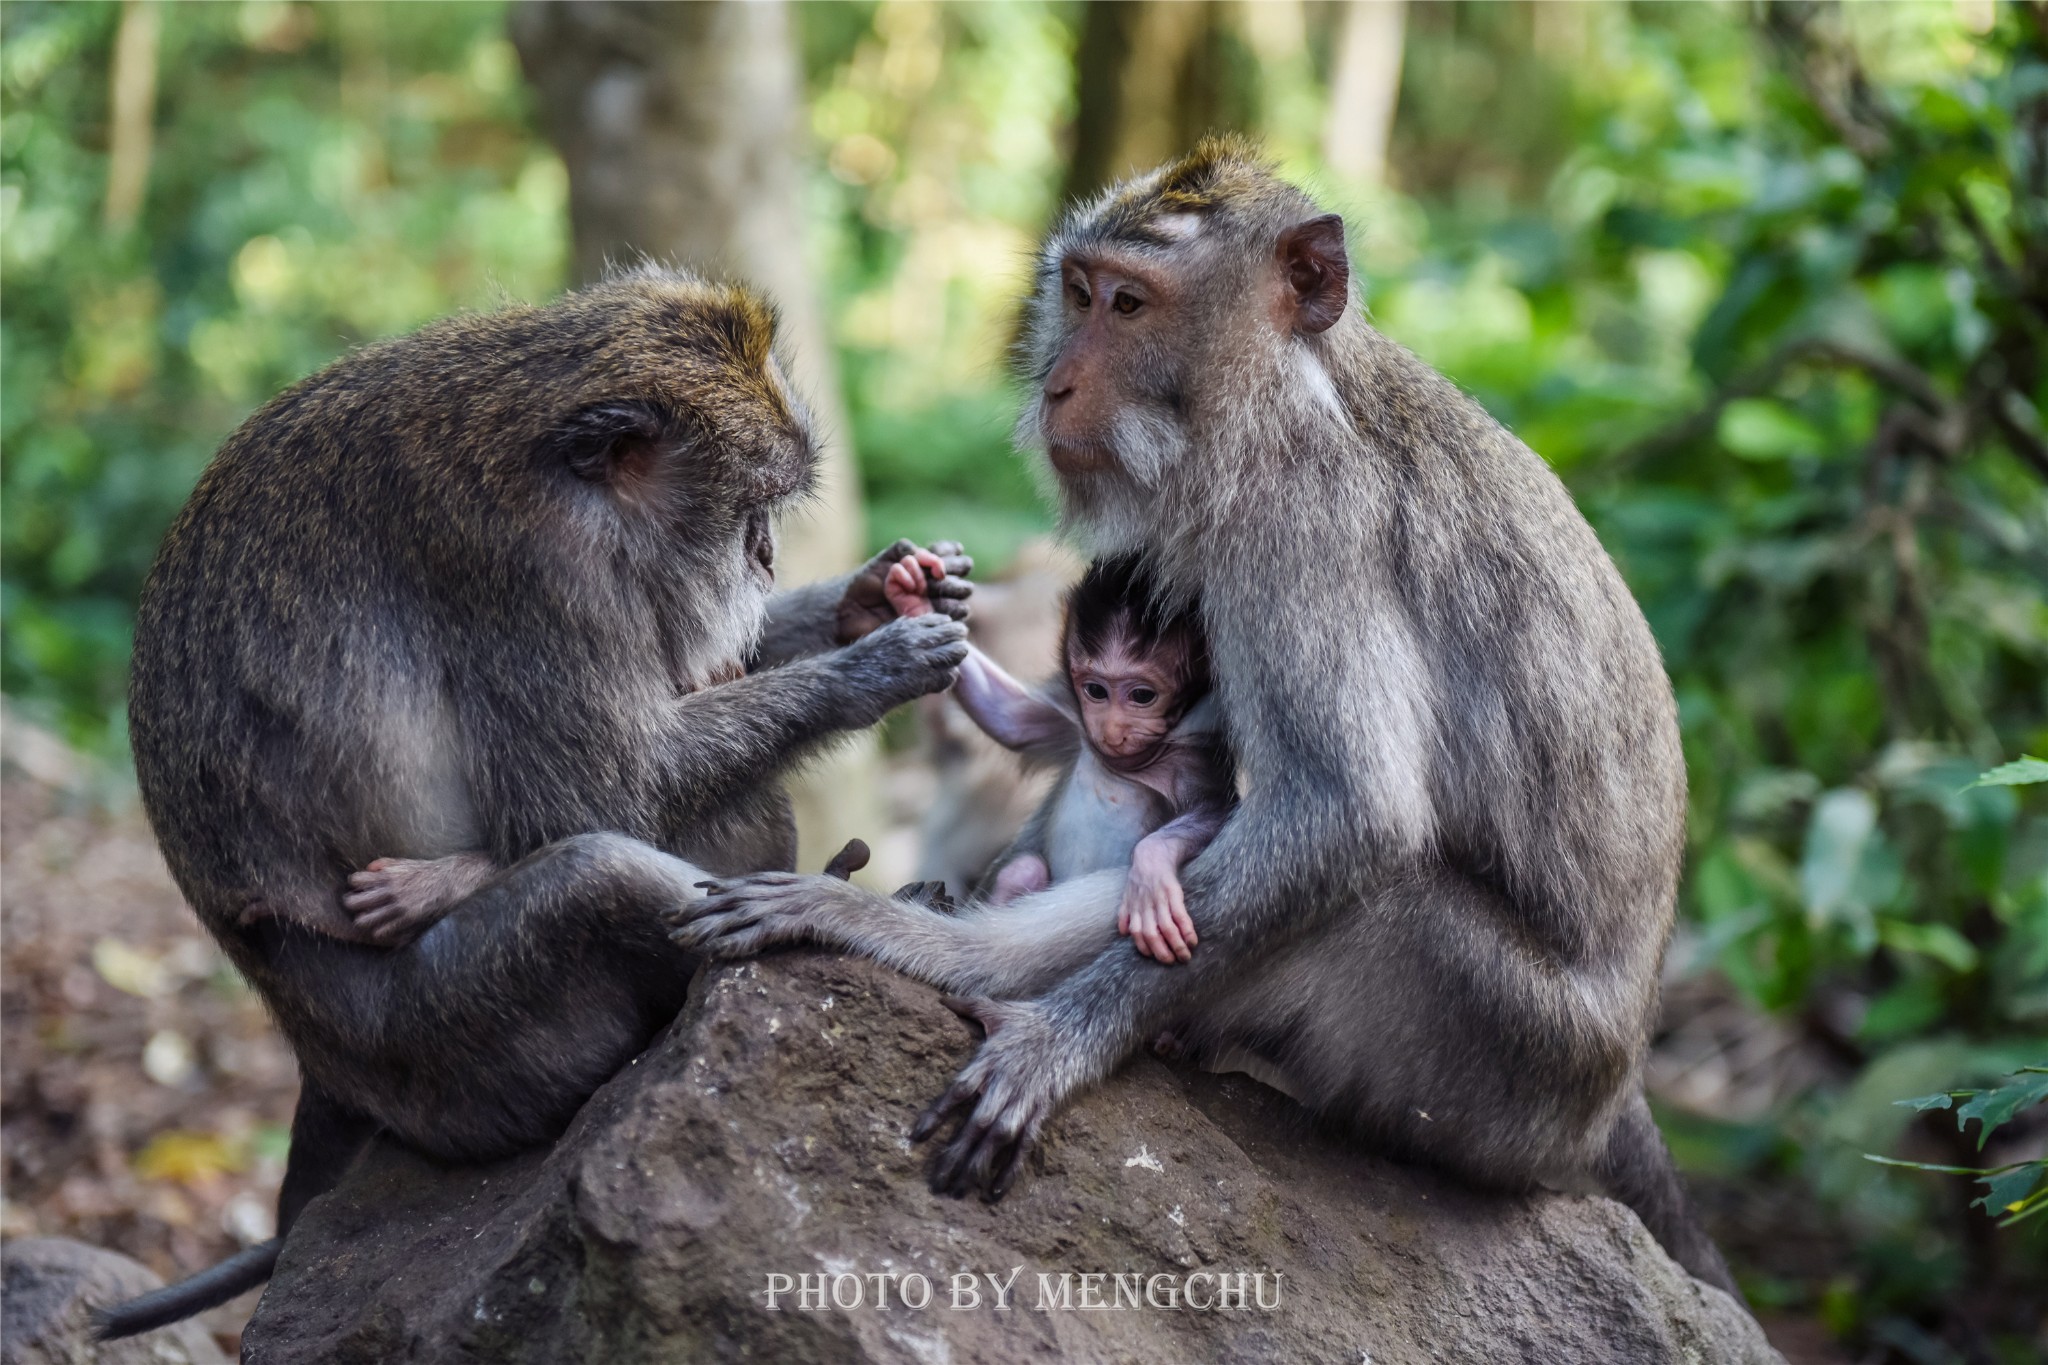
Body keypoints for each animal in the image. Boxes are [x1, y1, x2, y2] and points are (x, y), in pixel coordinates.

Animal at [884, 548, 1228, 965]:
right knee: (1024, 869)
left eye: (1142, 696)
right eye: (1096, 691)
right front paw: (912, 597)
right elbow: (1009, 719)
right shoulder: (1075, 726)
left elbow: (1216, 809)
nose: (1112, 729)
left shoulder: (1187, 762)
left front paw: (1152, 868)